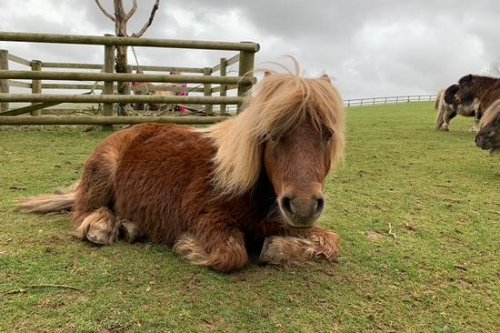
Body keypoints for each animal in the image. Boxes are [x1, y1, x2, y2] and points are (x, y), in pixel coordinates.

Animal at [14, 66, 344, 272]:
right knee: (83, 210)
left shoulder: (284, 221)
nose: (302, 206)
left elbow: (332, 241)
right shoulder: (207, 219)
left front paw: (277, 248)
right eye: (271, 135)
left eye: (328, 134)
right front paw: (188, 247)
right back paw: (101, 227)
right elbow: (231, 253)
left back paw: (130, 227)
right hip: (104, 168)